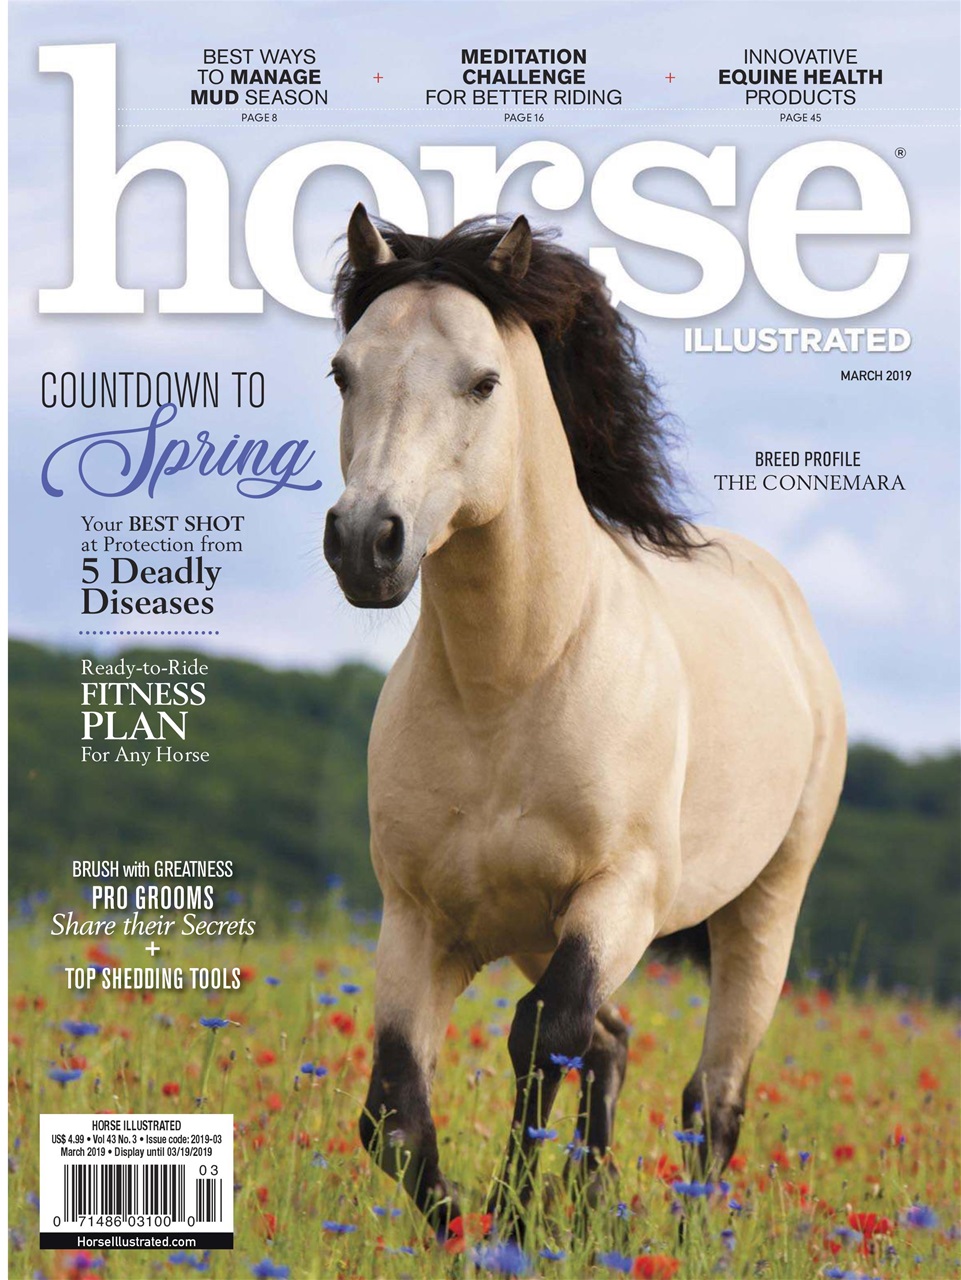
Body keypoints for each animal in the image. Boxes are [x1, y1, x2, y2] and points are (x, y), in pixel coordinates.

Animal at [322, 203, 847, 1239]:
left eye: (482, 381)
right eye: (343, 371)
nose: (367, 542)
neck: (511, 682)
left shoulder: (619, 895)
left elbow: (542, 1035)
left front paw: (512, 1222)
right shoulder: (419, 919)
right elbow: (393, 1112)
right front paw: (475, 1224)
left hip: (763, 907)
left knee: (710, 1096)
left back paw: (679, 1233)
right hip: (535, 925)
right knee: (613, 1042)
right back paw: (594, 1205)